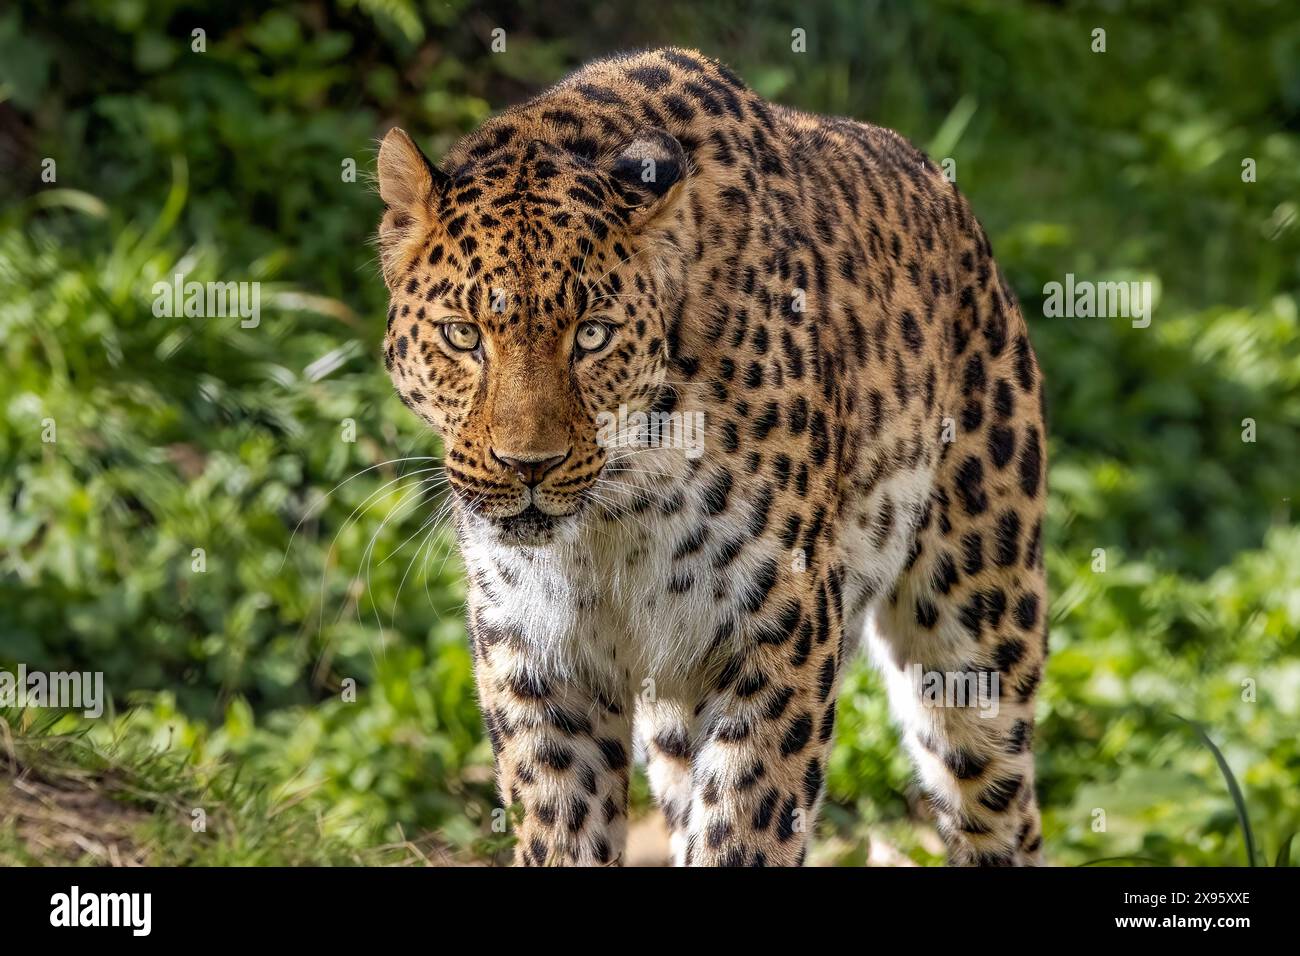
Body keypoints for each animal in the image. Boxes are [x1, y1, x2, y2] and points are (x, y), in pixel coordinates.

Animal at [374, 47, 1047, 866]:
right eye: (463, 335)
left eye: (591, 335)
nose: (527, 465)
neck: (617, 511)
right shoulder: (538, 659)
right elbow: (562, 827)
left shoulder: (780, 637)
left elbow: (743, 827)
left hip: (975, 631)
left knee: (999, 803)